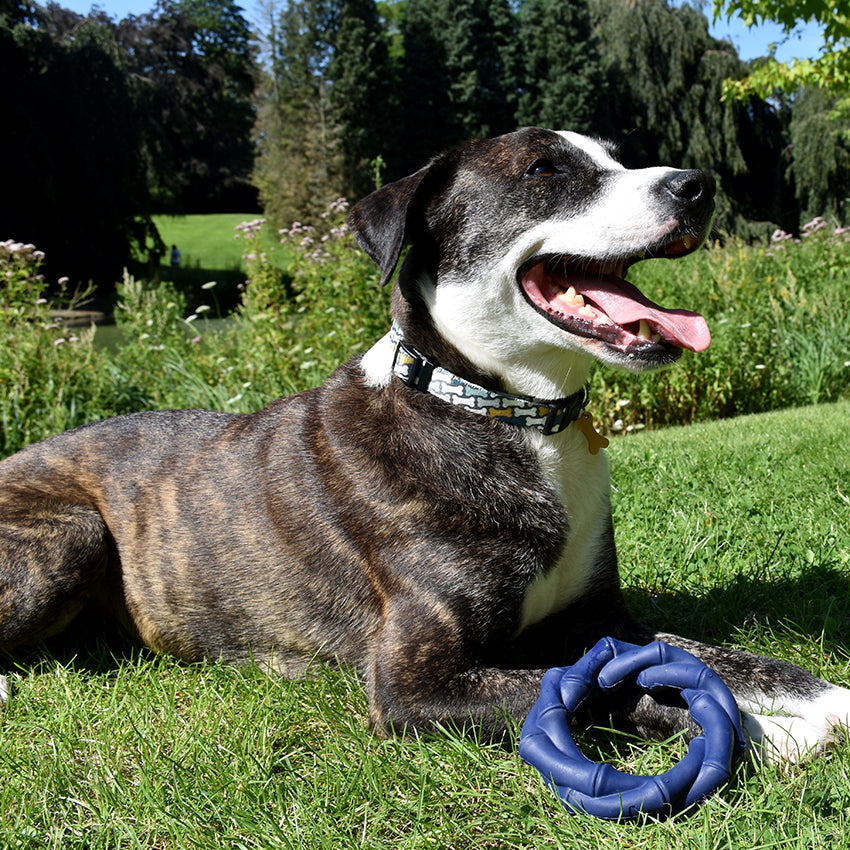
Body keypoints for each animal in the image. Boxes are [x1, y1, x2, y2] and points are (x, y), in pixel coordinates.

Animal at [1, 127, 848, 760]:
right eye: (545, 169)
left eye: (617, 157)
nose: (698, 184)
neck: (497, 410)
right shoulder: (416, 688)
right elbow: (600, 692)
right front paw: (760, 732)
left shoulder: (603, 618)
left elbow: (703, 653)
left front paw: (820, 697)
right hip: (68, 533)